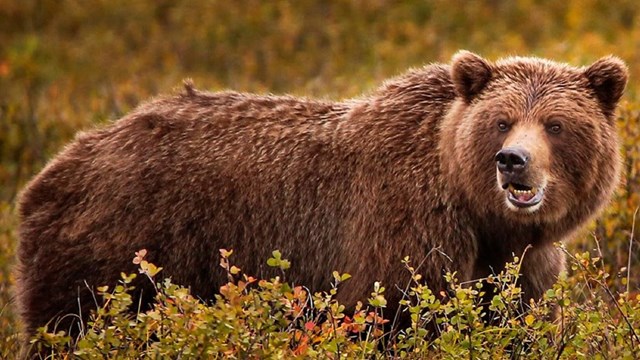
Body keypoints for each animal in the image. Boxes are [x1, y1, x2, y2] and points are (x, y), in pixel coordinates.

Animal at [16, 51, 632, 340]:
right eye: (502, 121)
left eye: (555, 124)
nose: (512, 161)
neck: (481, 215)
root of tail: (55, 165)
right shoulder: (404, 232)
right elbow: (400, 313)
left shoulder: (521, 263)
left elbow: (508, 317)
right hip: (116, 251)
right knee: (72, 324)